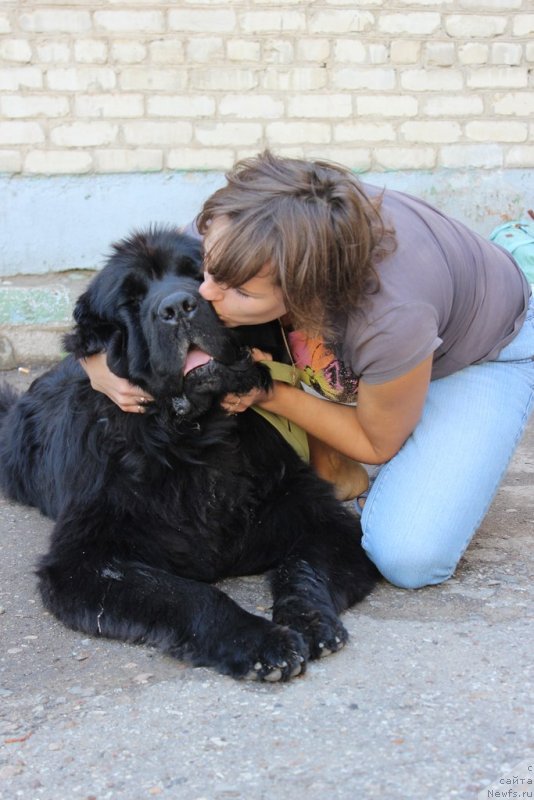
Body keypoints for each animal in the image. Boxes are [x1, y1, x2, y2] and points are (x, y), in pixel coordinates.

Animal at [0, 228, 376, 684]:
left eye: (200, 275)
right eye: (131, 300)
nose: (178, 307)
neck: (196, 438)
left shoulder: (319, 516)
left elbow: (302, 567)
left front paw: (310, 619)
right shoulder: (86, 561)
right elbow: (187, 595)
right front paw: (260, 641)